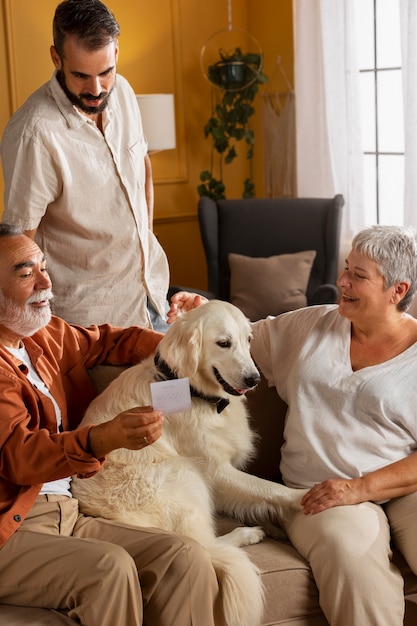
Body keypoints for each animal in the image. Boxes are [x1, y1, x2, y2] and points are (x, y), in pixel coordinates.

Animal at [71, 300, 304, 620]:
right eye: (223, 343)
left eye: (248, 340)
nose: (254, 379)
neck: (191, 390)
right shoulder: (216, 472)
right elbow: (272, 488)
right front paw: (308, 496)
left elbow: (258, 494)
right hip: (184, 473)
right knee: (206, 546)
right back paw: (249, 534)